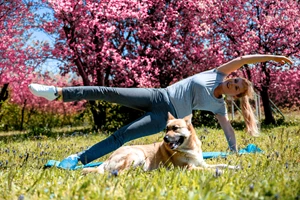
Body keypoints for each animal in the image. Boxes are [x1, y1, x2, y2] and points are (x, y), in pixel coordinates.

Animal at [82, 111, 237, 174]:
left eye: (175, 128)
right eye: (166, 129)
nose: (165, 139)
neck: (189, 148)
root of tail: (107, 160)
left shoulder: (202, 163)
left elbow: (219, 164)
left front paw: (234, 167)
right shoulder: (189, 168)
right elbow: (211, 169)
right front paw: (222, 172)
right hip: (137, 154)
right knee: (119, 173)